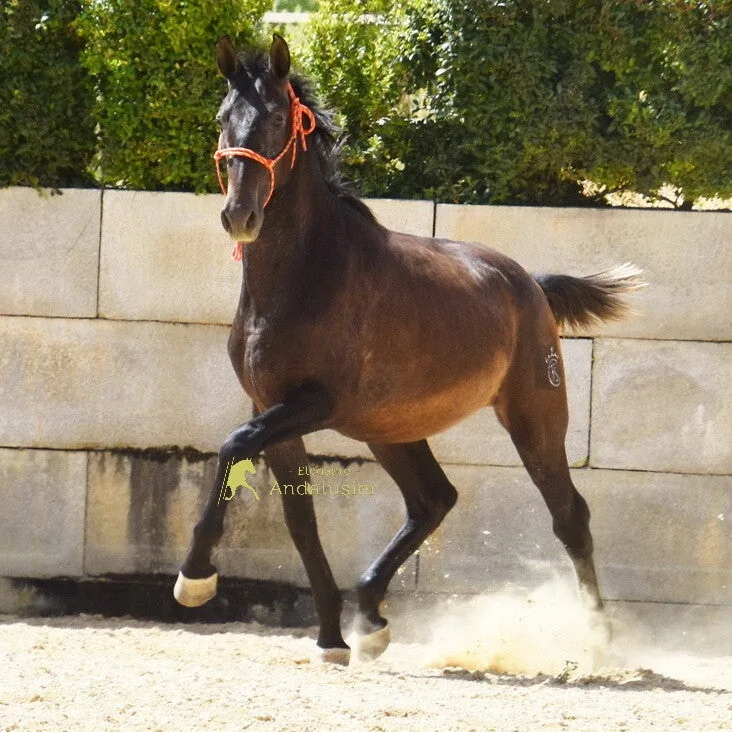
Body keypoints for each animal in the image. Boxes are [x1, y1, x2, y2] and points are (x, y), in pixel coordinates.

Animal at [173, 33, 645, 665]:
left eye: (274, 118)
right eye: (223, 118)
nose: (238, 215)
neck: (307, 275)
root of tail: (529, 282)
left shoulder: (315, 403)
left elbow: (233, 446)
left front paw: (195, 579)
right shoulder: (273, 410)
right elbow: (300, 521)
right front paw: (330, 639)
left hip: (535, 416)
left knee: (569, 515)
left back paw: (598, 642)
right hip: (391, 428)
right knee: (433, 500)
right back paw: (371, 617)